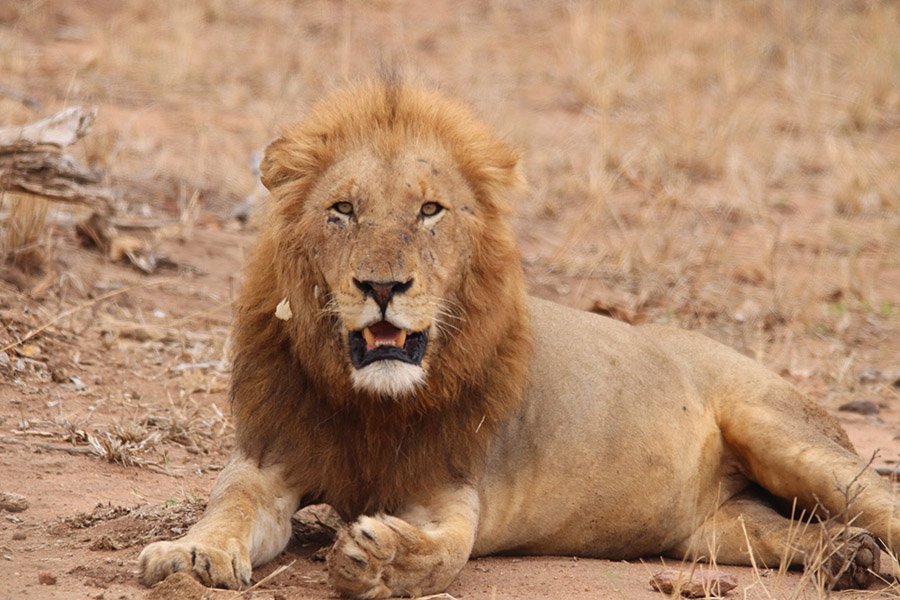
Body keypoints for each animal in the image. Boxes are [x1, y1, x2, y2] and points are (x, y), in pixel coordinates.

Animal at [137, 78, 896, 596]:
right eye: (343, 209)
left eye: (430, 210)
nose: (382, 287)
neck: (370, 405)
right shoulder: (270, 457)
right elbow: (229, 504)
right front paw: (190, 554)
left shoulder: (449, 488)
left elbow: (445, 551)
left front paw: (378, 558)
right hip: (718, 528)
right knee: (780, 530)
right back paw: (847, 557)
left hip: (779, 433)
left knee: (880, 502)